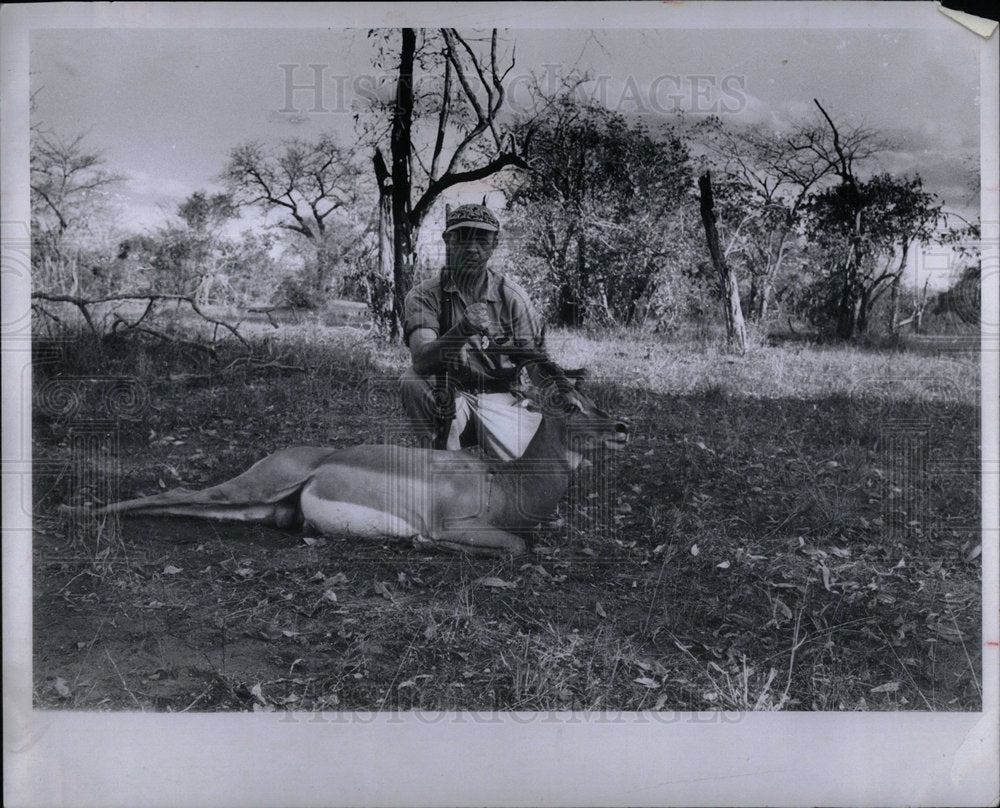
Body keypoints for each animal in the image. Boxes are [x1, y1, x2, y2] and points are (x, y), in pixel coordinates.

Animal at [86, 350, 624, 552]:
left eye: (593, 399)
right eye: (568, 404)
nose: (620, 427)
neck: (506, 485)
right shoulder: (457, 525)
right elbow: (515, 547)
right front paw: (420, 542)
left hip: (261, 509)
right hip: (253, 486)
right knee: (176, 492)